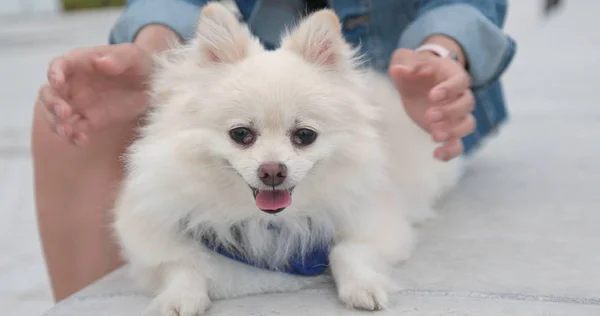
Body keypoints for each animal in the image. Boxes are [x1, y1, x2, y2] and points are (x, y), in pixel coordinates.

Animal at [111, 3, 460, 316]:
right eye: (241, 134)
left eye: (305, 135)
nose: (272, 171)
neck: (269, 222)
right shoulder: (152, 232)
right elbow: (182, 262)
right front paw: (180, 297)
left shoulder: (378, 221)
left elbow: (347, 250)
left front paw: (362, 286)